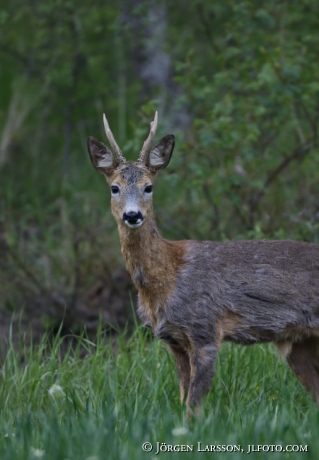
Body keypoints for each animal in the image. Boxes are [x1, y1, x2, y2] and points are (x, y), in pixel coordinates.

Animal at [87, 113, 319, 408]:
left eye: (148, 187)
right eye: (115, 188)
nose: (132, 215)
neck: (168, 277)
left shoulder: (205, 329)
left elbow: (192, 406)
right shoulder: (174, 340)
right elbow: (181, 400)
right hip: (299, 342)